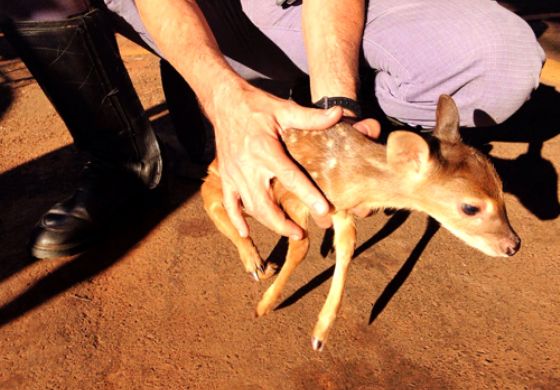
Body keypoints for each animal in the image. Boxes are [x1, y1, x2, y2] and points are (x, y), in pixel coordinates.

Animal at [200, 94, 520, 350]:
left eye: (501, 187)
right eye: (470, 207)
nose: (513, 245)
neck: (351, 177)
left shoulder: (341, 211)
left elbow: (346, 250)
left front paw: (320, 333)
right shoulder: (297, 195)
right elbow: (301, 244)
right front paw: (264, 306)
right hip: (234, 178)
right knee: (211, 197)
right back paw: (257, 264)